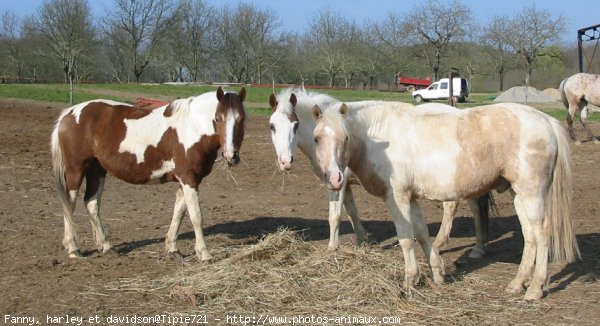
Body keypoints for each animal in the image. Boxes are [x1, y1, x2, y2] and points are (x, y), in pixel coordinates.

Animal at [49, 86, 246, 260]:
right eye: (218, 119)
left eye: (241, 119)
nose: (231, 156)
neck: (192, 126)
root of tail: (69, 113)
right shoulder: (188, 178)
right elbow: (196, 215)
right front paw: (204, 254)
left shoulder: (188, 179)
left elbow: (179, 212)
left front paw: (172, 248)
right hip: (76, 170)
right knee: (69, 204)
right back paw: (73, 248)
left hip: (96, 170)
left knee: (91, 203)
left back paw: (106, 246)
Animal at [270, 88, 490, 258]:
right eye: (272, 126)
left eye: (295, 125)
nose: (285, 162)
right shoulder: (344, 183)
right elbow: (352, 212)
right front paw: (362, 240)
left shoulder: (337, 183)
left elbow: (335, 215)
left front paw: (332, 248)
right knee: (475, 207)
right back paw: (477, 249)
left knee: (454, 207)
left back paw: (440, 245)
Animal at [314, 100, 580, 300]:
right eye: (317, 138)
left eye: (345, 138)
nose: (335, 178)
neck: (379, 138)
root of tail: (546, 121)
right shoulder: (411, 198)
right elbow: (422, 234)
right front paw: (437, 273)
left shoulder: (397, 197)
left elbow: (406, 240)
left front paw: (409, 281)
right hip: (519, 195)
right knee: (530, 236)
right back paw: (517, 284)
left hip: (531, 193)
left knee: (542, 234)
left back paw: (534, 289)